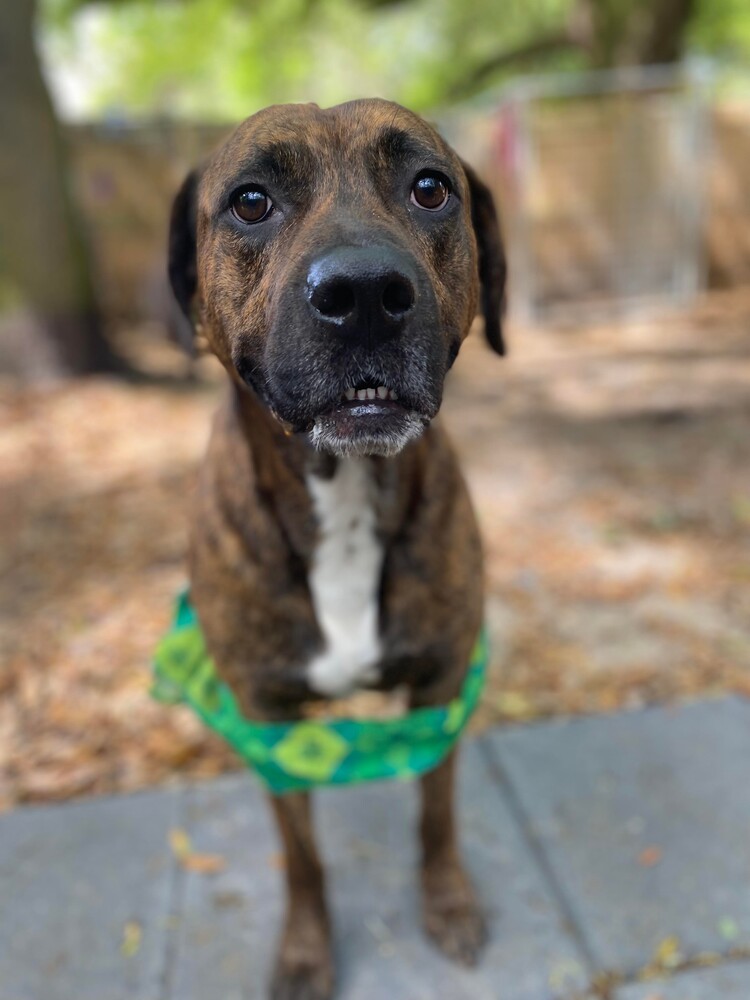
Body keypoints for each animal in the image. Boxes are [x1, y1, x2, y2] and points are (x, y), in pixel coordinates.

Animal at [165, 97, 506, 996]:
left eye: (430, 188)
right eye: (251, 201)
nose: (364, 295)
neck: (345, 494)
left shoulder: (441, 686)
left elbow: (436, 814)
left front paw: (447, 903)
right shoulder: (267, 718)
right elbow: (302, 858)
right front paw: (306, 952)